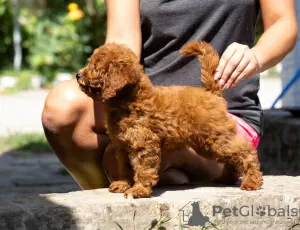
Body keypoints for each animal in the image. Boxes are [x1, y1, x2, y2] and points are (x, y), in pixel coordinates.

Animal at [77, 41, 262, 198]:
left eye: (95, 67)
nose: (78, 75)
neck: (127, 102)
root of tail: (210, 92)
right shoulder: (122, 147)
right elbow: (124, 167)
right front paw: (123, 184)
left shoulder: (145, 144)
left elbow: (143, 169)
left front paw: (139, 190)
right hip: (206, 145)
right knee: (231, 157)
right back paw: (226, 178)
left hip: (217, 138)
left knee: (245, 151)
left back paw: (252, 181)